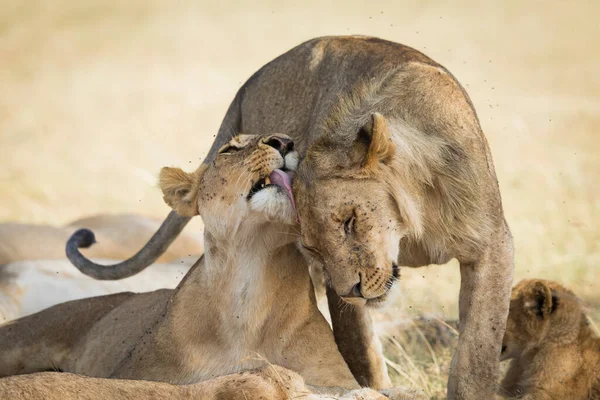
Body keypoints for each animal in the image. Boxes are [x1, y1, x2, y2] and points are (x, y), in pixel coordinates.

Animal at [67, 36, 516, 398]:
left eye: (350, 221)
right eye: (314, 248)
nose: (355, 289)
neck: (411, 227)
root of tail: (251, 79)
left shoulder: (492, 246)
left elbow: (476, 352)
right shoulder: (336, 284)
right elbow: (361, 353)